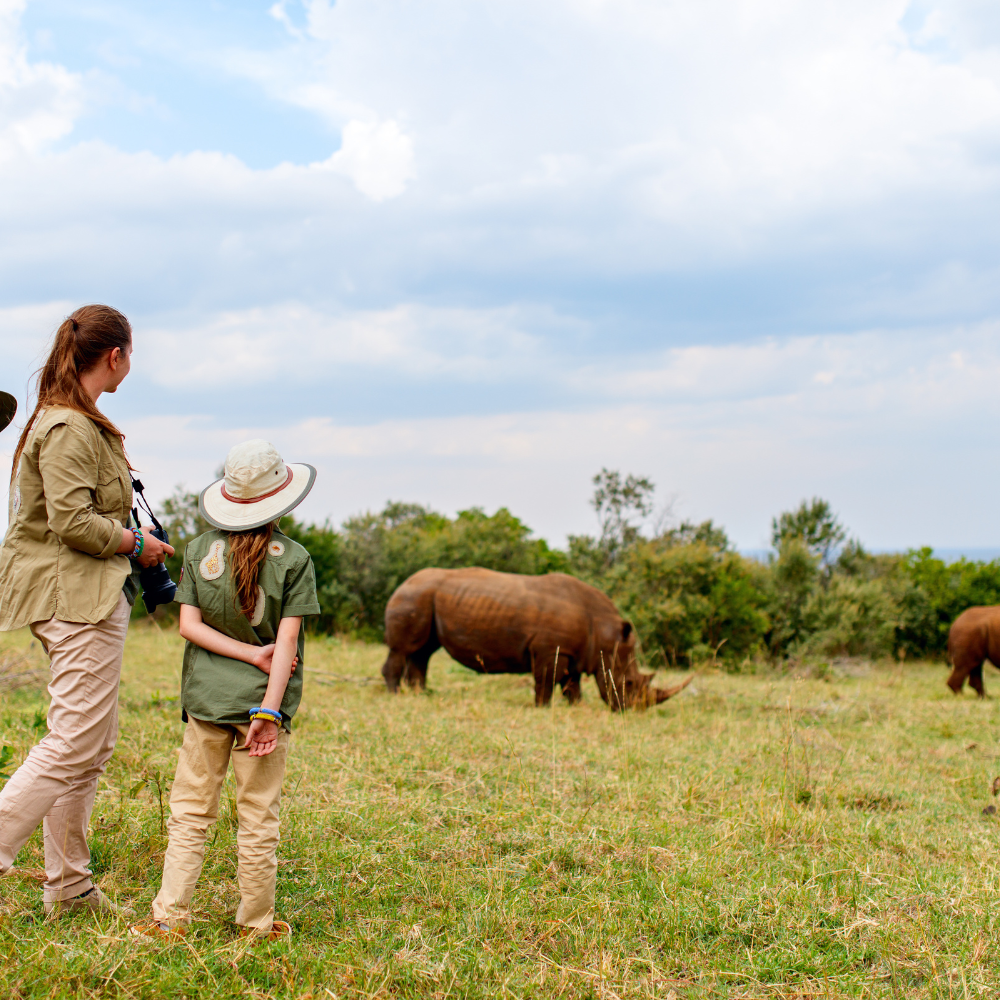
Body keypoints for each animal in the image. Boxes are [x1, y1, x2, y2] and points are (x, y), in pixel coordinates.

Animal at [381, 567, 691, 709]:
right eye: (628, 684)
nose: (632, 711)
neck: (605, 633)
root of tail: (403, 581)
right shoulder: (550, 649)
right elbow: (547, 680)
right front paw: (543, 708)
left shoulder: (573, 652)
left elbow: (571, 684)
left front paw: (575, 707)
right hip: (413, 597)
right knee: (404, 649)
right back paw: (395, 696)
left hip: (423, 597)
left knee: (422, 652)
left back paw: (421, 695)